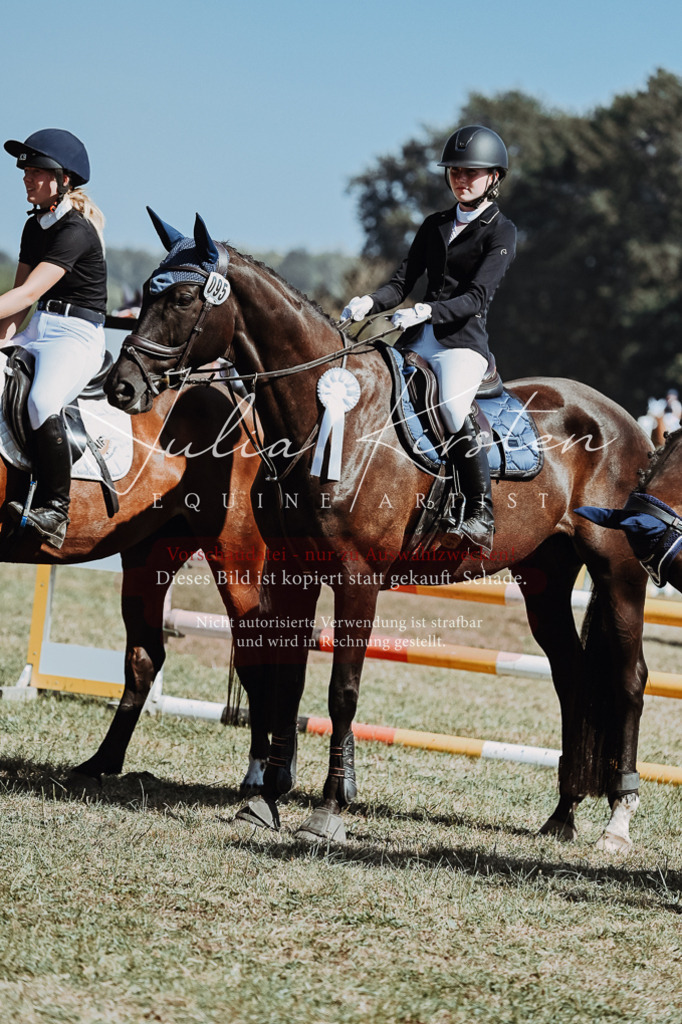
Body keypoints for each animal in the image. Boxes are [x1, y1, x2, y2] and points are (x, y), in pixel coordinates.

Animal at [105, 208, 653, 851]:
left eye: (185, 297)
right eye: (146, 292)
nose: (121, 387)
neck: (326, 418)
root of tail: (625, 421)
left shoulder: (357, 577)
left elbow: (342, 692)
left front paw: (328, 811)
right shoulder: (292, 570)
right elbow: (287, 678)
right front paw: (265, 799)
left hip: (618, 571)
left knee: (629, 680)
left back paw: (618, 821)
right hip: (544, 575)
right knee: (572, 678)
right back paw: (562, 816)